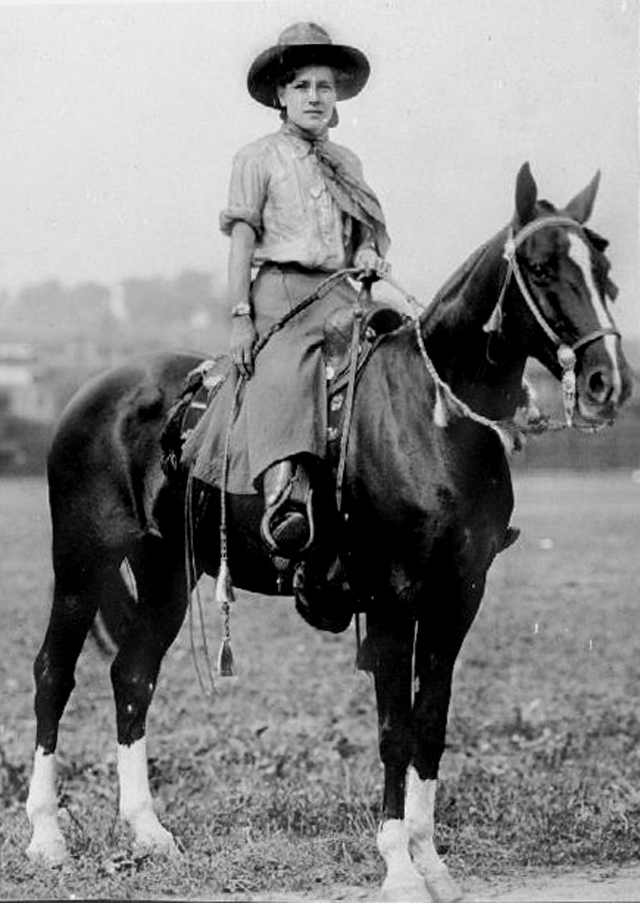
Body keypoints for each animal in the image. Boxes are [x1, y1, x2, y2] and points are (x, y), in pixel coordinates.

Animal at [23, 166, 632, 900]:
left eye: (604, 270)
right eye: (541, 268)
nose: (607, 382)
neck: (431, 417)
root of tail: (93, 393)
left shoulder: (458, 599)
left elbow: (431, 724)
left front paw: (432, 860)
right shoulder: (396, 599)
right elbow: (396, 729)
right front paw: (399, 864)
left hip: (167, 571)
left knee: (131, 675)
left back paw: (148, 831)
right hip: (81, 565)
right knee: (54, 674)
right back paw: (47, 837)